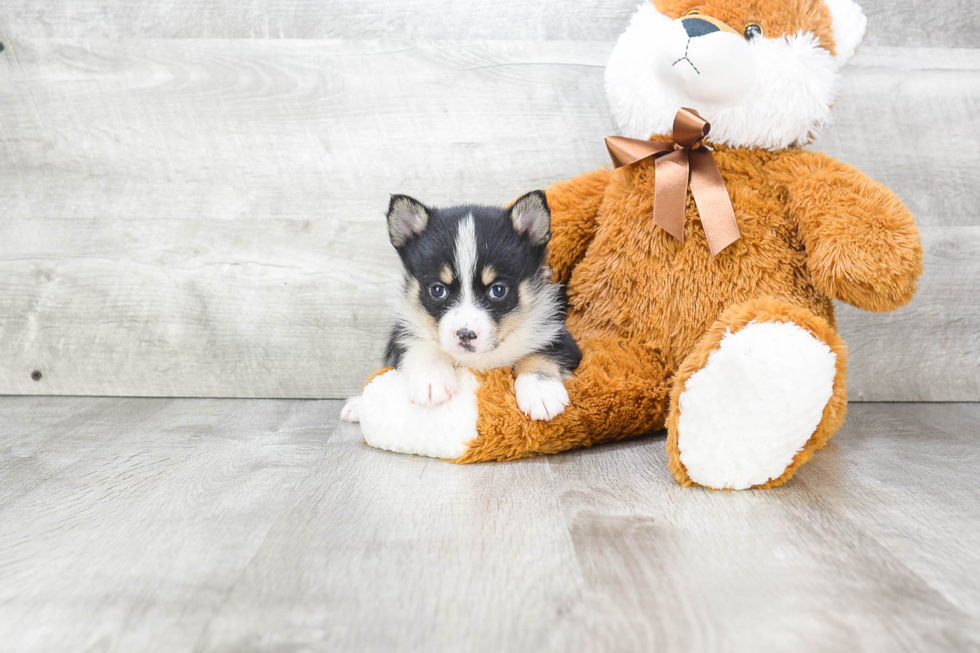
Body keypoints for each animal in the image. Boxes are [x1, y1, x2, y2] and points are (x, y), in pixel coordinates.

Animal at [340, 190, 580, 422]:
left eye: (498, 290)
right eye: (438, 290)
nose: (465, 335)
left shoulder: (559, 335)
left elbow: (541, 353)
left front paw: (541, 392)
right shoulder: (402, 336)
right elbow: (423, 346)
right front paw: (432, 382)